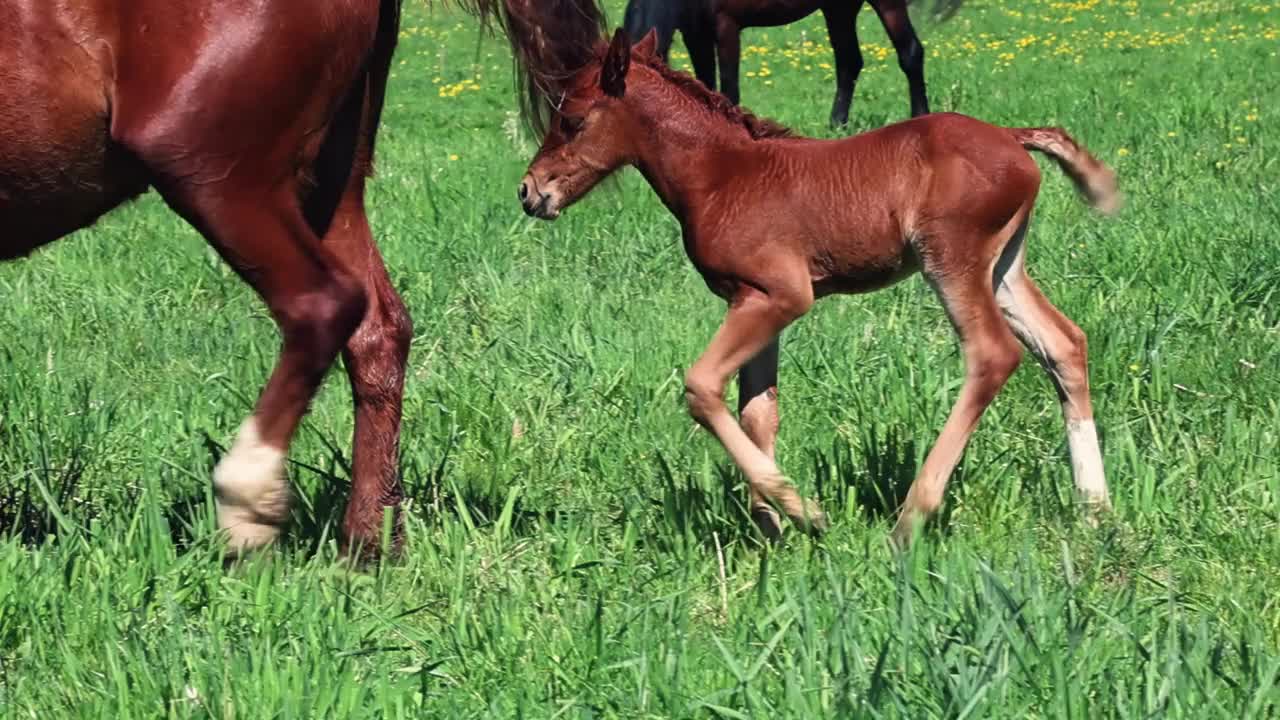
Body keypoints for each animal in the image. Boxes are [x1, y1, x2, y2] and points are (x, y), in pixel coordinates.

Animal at [519, 29, 1121, 543]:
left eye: (571, 119)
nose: (530, 191)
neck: (720, 173)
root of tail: (1013, 138)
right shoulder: (751, 298)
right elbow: (757, 411)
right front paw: (770, 534)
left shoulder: (781, 295)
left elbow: (702, 387)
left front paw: (803, 511)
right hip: (1002, 267)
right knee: (1063, 344)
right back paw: (1094, 509)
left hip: (952, 260)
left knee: (993, 354)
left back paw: (911, 519)